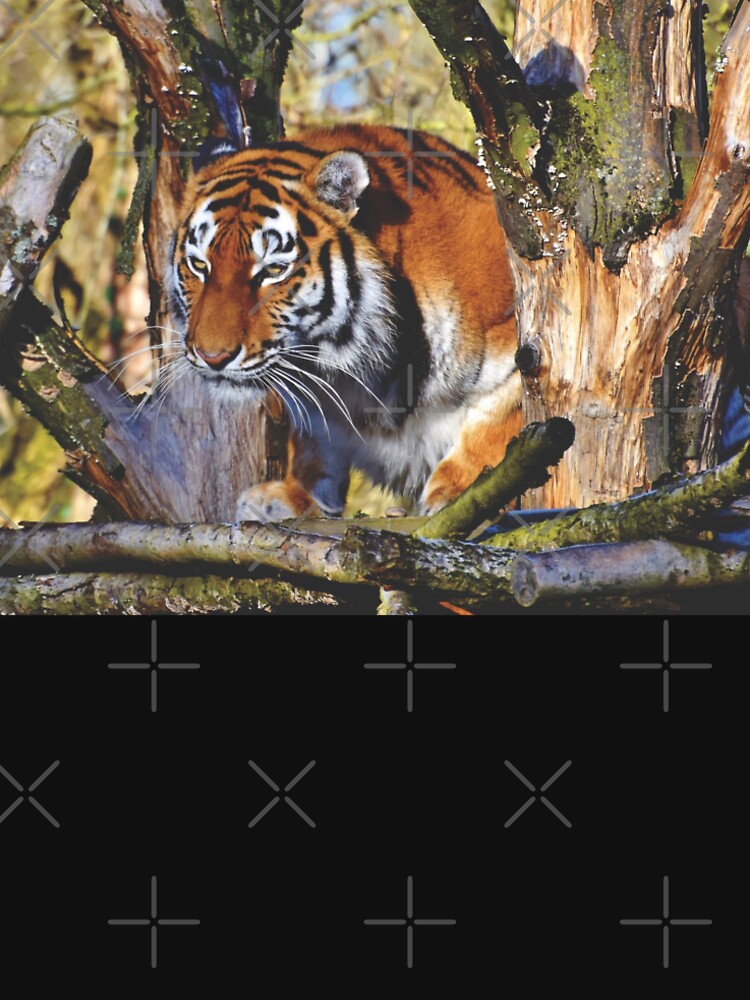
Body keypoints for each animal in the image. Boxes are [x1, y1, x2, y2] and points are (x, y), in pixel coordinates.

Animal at [169, 124, 522, 519]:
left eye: (273, 270)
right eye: (199, 265)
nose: (212, 357)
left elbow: (497, 425)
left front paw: (459, 492)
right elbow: (314, 440)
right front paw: (293, 497)